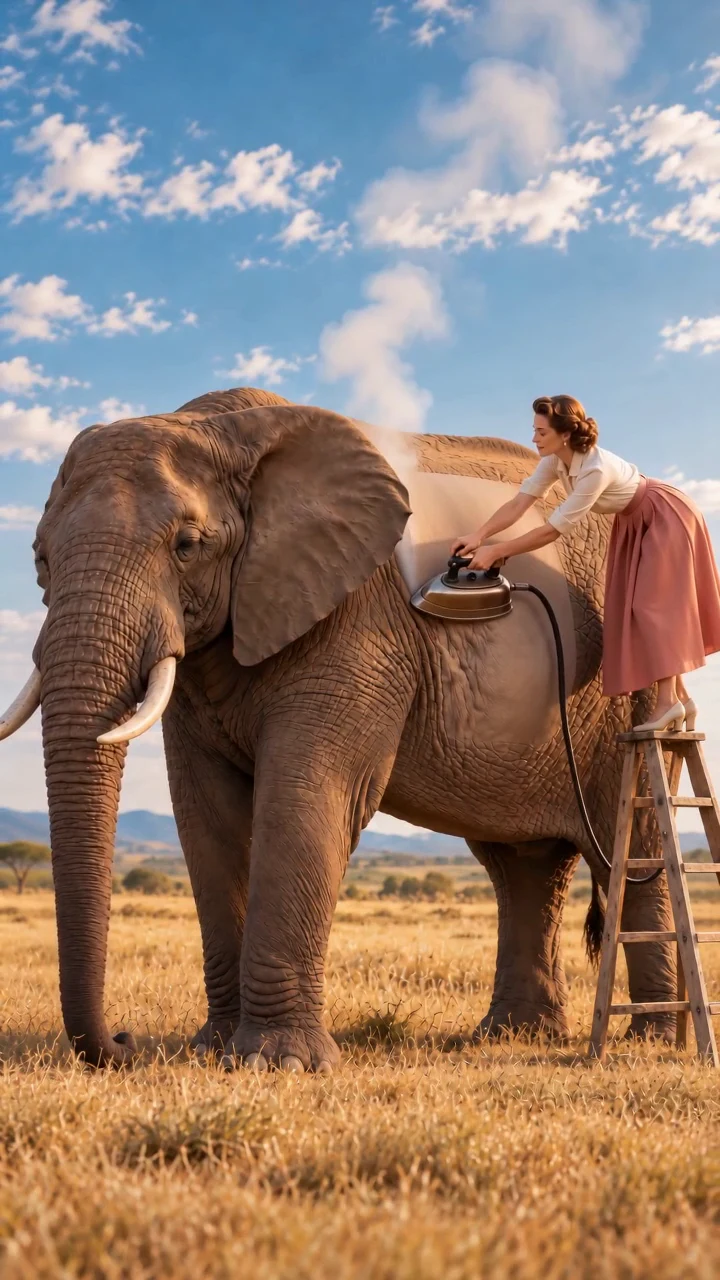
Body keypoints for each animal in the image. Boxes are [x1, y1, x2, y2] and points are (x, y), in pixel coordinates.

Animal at [0, 385, 676, 1071]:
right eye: (39, 558)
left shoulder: (360, 622)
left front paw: (277, 1064)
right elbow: (207, 816)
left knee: (633, 843)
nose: (125, 1041)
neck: (222, 429)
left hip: (632, 695)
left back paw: (651, 1040)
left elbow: (304, 794)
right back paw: (512, 1034)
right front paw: (214, 1050)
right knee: (523, 865)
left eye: (187, 545)